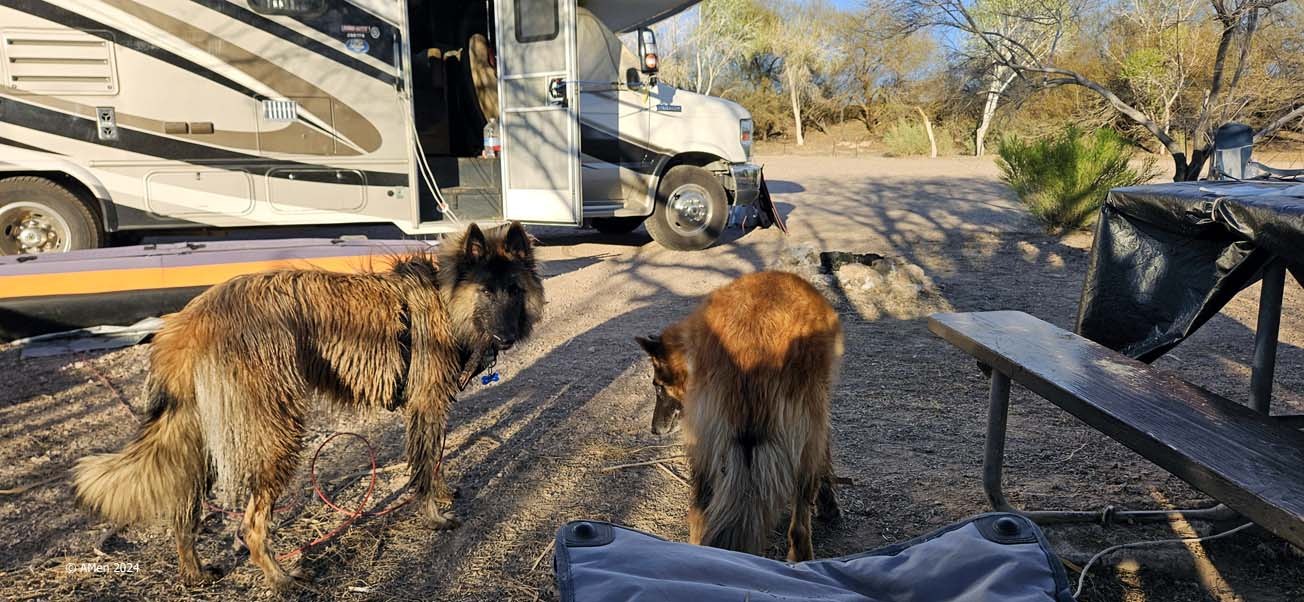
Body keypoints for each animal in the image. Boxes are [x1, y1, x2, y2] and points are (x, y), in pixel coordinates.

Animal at [73, 222, 544, 589]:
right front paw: (435, 515)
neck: (446, 297)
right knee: (250, 525)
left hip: (198, 437)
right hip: (276, 433)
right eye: (486, 291)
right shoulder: (425, 404)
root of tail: (191, 319)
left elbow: (437, 458)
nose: (505, 337)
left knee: (182, 513)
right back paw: (280, 579)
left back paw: (195, 573)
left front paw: (444, 493)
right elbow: (425, 468)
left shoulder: (431, 407)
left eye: (514, 290)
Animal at [637, 271, 842, 561]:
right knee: (799, 529)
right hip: (807, 436)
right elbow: (826, 461)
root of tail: (749, 349)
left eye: (657, 386)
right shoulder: (820, 416)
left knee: (698, 515)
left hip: (704, 453)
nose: (654, 429)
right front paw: (829, 505)